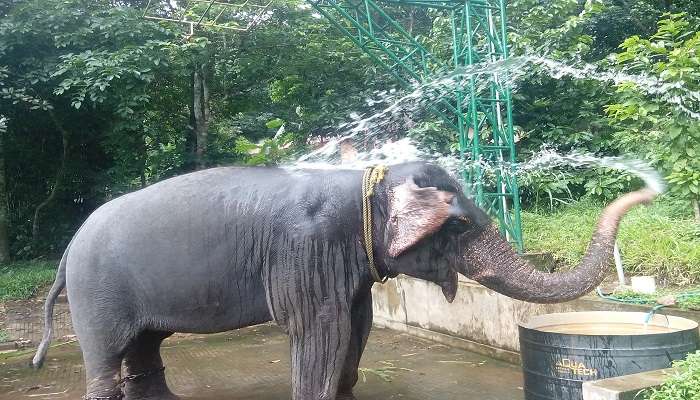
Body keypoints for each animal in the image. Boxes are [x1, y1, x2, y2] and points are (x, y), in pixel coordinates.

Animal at [32, 162, 656, 400]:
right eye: (460, 226)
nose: (650, 188)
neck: (367, 179)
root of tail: (66, 252)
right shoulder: (307, 252)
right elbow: (321, 329)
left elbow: (359, 322)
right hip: (98, 292)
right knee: (110, 351)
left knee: (146, 345)